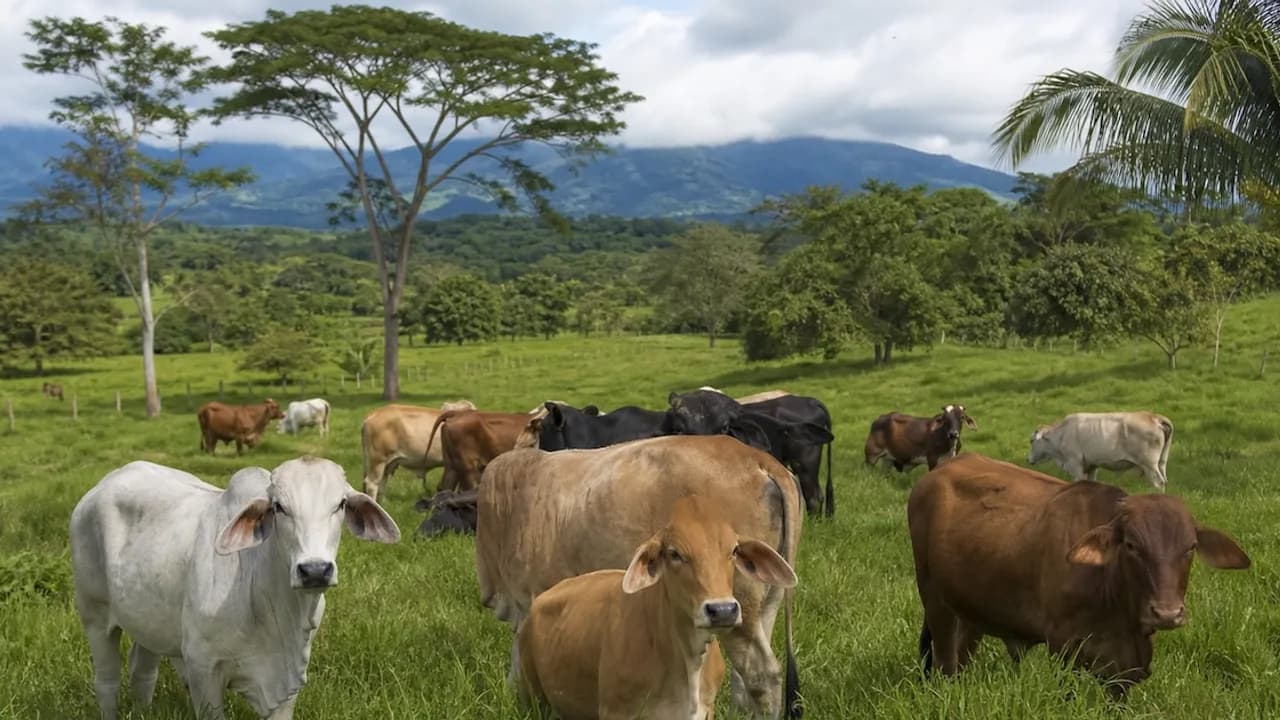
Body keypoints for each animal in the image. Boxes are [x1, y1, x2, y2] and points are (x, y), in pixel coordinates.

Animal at [69, 457, 400, 720]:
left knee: (143, 673)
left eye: (340, 505)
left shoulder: (288, 682)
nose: (315, 570)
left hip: (149, 622)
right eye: (279, 507)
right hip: (94, 615)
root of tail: (102, 485)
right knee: (107, 682)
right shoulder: (202, 669)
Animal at [908, 453, 1249, 696]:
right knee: (944, 662)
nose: (1166, 613)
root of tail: (938, 471)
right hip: (934, 600)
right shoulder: (1063, 648)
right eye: (1131, 545)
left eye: (1190, 547)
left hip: (971, 607)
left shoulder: (1126, 669)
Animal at [1029, 412, 1173, 491]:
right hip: (1161, 463)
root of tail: (1154, 417)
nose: (1028, 459)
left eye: (1031, 440)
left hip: (1149, 465)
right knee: (1165, 480)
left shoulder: (1075, 464)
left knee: (1159, 483)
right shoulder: (1092, 465)